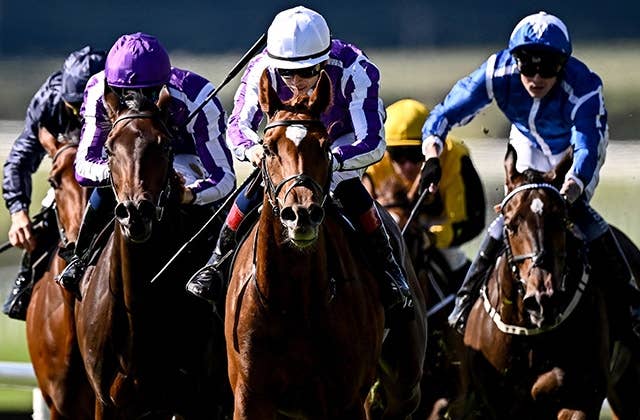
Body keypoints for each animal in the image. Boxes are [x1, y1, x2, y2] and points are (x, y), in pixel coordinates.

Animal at [224, 69, 427, 419]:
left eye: (324, 146)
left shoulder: (345, 399)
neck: (294, 302)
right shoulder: (249, 397)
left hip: (405, 383)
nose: (301, 214)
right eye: (268, 148)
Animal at [461, 144, 611, 419]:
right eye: (510, 225)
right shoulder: (495, 403)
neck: (531, 334)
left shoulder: (582, 398)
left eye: (561, 220)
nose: (542, 300)